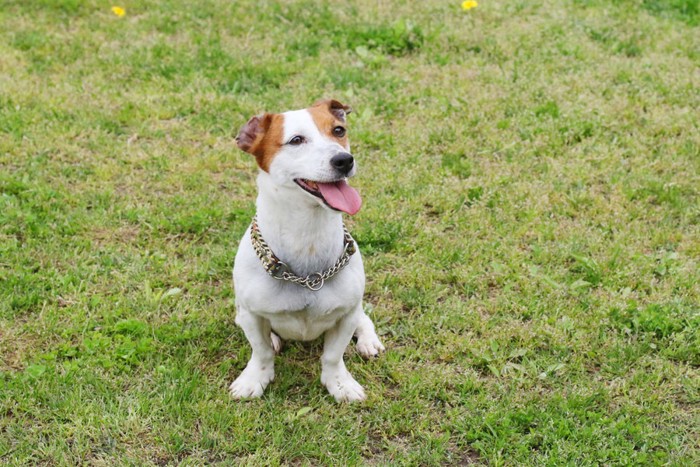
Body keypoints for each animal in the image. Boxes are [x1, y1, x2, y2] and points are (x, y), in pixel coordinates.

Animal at [231, 99, 386, 402]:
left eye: (338, 131)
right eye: (296, 140)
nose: (344, 160)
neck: (308, 236)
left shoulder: (346, 314)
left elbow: (333, 356)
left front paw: (339, 383)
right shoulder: (251, 315)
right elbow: (261, 351)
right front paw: (255, 378)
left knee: (364, 318)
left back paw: (368, 340)